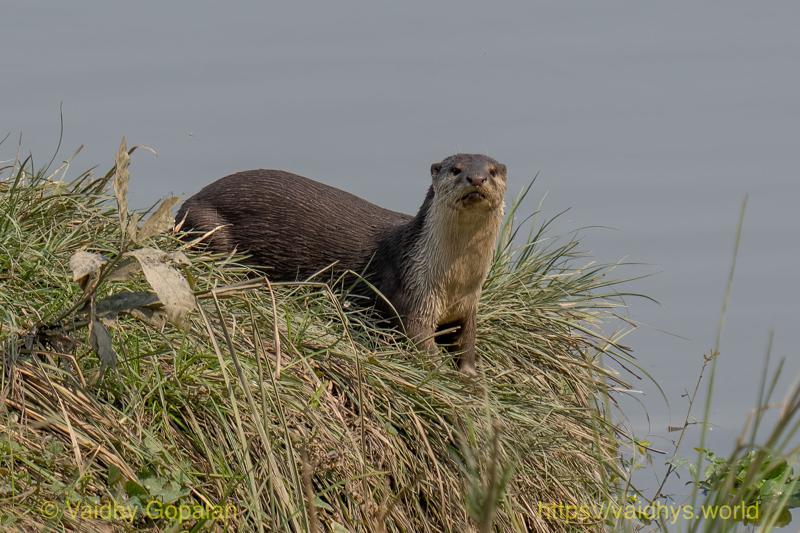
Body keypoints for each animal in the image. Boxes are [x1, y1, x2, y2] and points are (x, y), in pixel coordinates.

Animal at [176, 154, 507, 373]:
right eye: (456, 169)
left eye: (492, 171)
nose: (476, 179)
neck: (454, 281)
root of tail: (187, 203)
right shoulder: (412, 293)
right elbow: (418, 340)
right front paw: (441, 371)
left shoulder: (468, 305)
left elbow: (467, 342)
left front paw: (471, 375)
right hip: (209, 227)